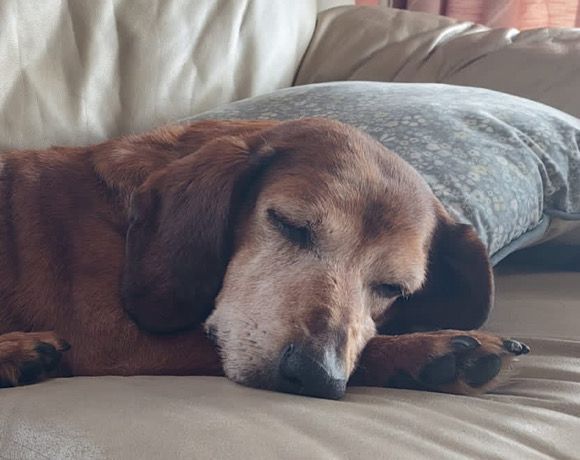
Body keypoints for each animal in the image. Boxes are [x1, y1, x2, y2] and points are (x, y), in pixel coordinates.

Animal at [0, 118, 528, 398]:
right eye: (288, 223)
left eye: (393, 288)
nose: (318, 377)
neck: (121, 215)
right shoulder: (116, 341)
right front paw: (428, 351)